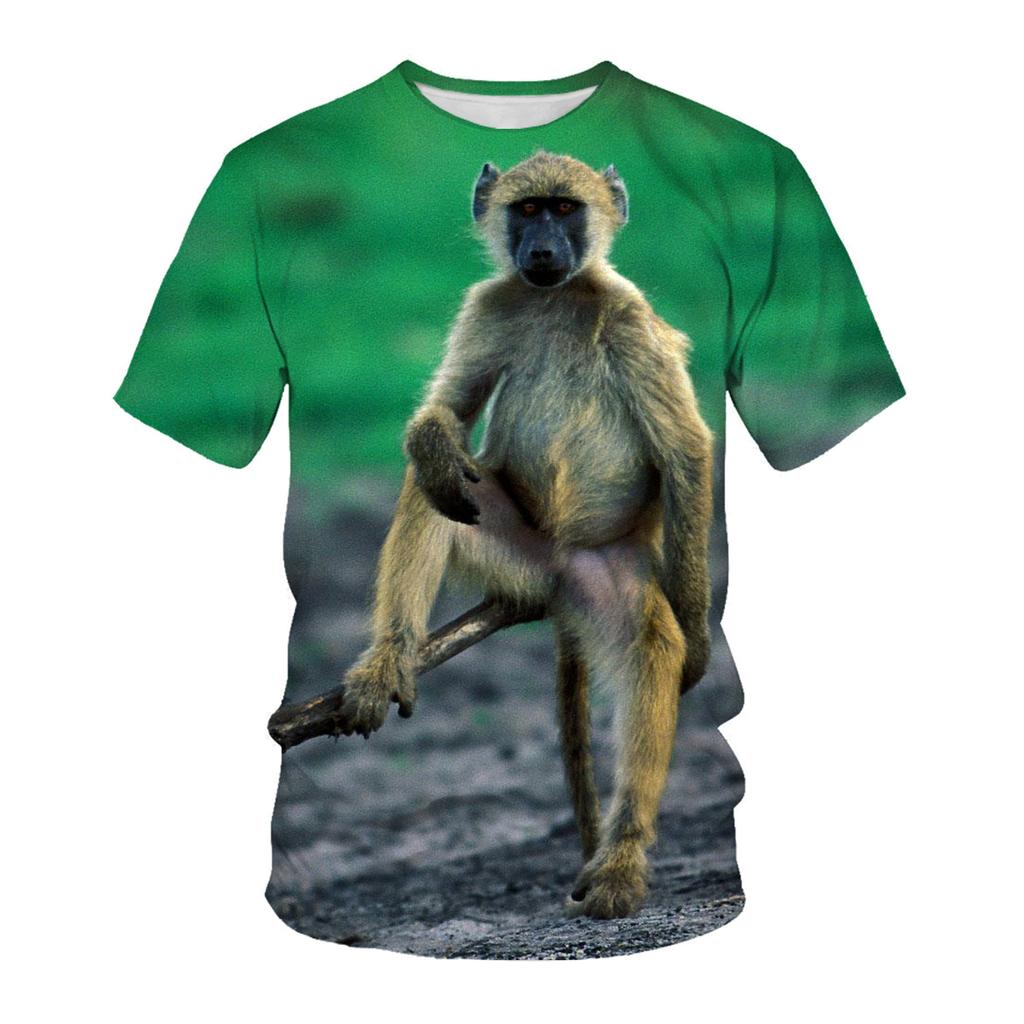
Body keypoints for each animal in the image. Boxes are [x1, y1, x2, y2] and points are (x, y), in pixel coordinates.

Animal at [338, 151, 714, 920]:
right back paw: (388, 659)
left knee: (652, 648)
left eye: (565, 209)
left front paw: (698, 638)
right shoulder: (489, 304)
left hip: (609, 569)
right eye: (528, 209)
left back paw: (621, 860)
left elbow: (685, 452)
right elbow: (446, 416)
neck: (552, 300)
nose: (541, 252)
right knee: (431, 490)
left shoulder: (632, 317)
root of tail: (560, 574)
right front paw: (433, 438)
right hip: (515, 546)